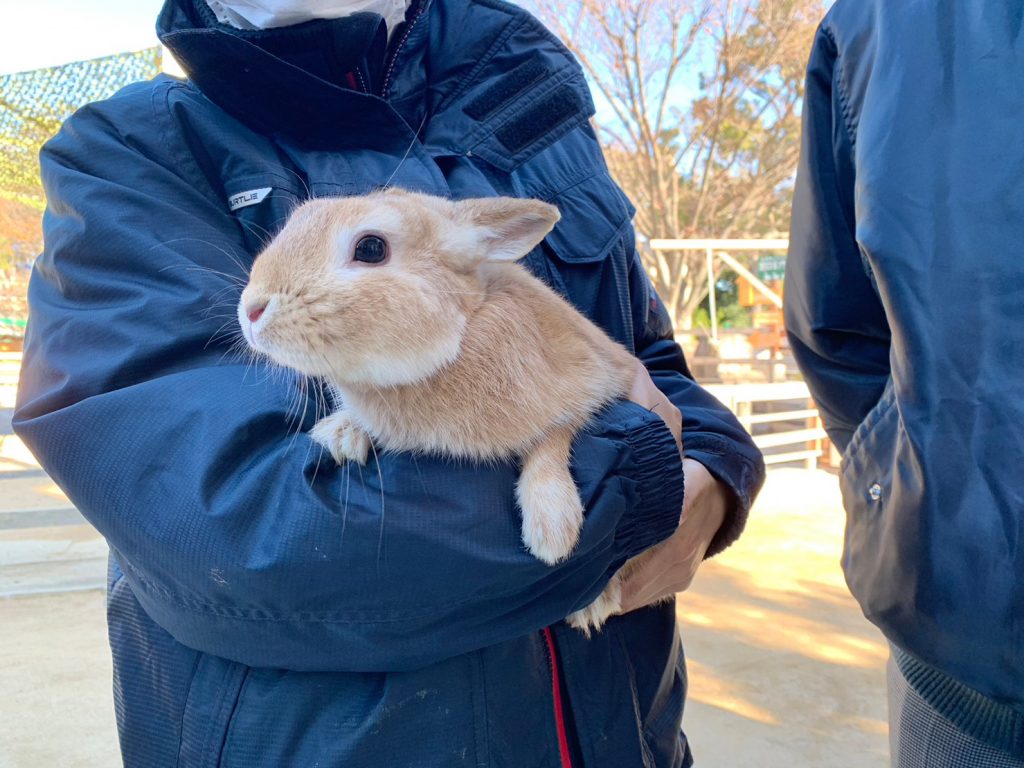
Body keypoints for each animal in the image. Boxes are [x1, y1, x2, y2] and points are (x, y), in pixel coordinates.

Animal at [238, 189, 671, 634]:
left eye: (371, 248)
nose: (251, 309)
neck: (462, 333)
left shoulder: (595, 382)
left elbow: (554, 438)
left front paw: (553, 529)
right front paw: (340, 433)